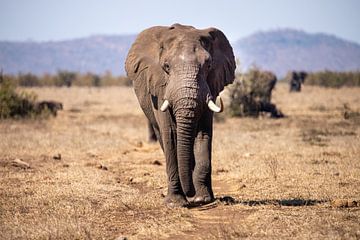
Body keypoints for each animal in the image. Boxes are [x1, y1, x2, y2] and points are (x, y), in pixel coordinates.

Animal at [125, 24, 235, 208]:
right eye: (166, 67)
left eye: (209, 65)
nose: (190, 192)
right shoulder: (159, 89)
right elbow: (170, 134)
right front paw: (175, 203)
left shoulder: (210, 87)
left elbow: (203, 134)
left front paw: (202, 199)